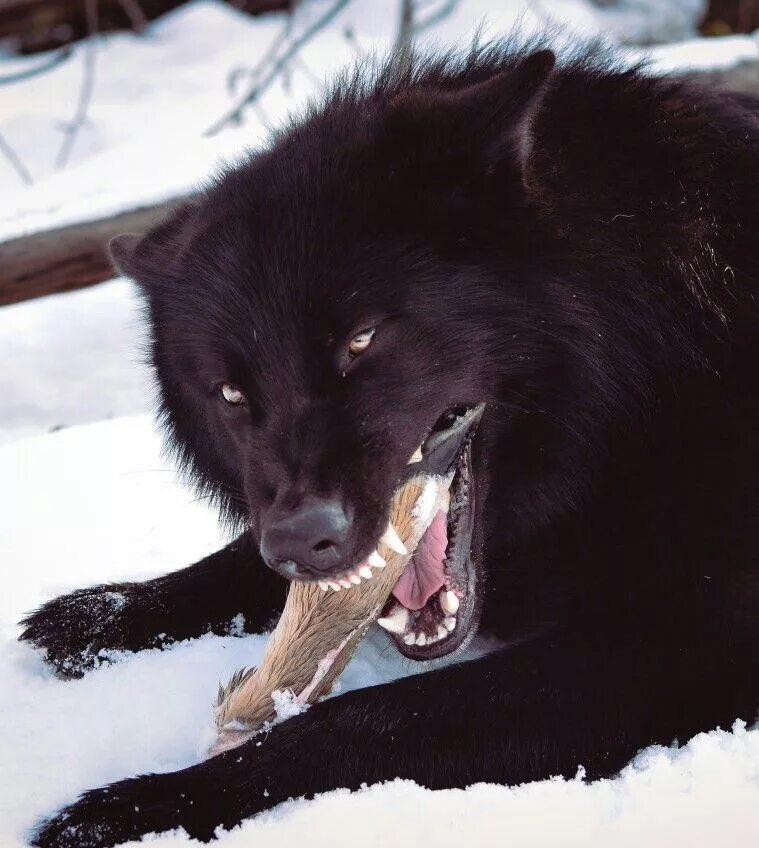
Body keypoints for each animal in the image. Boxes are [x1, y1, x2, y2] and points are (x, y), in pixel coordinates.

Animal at [23, 43, 759, 844]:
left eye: (361, 339)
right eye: (230, 394)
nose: (302, 542)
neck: (654, 361)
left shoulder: (686, 646)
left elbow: (359, 722)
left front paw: (144, 803)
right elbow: (236, 565)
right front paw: (104, 612)